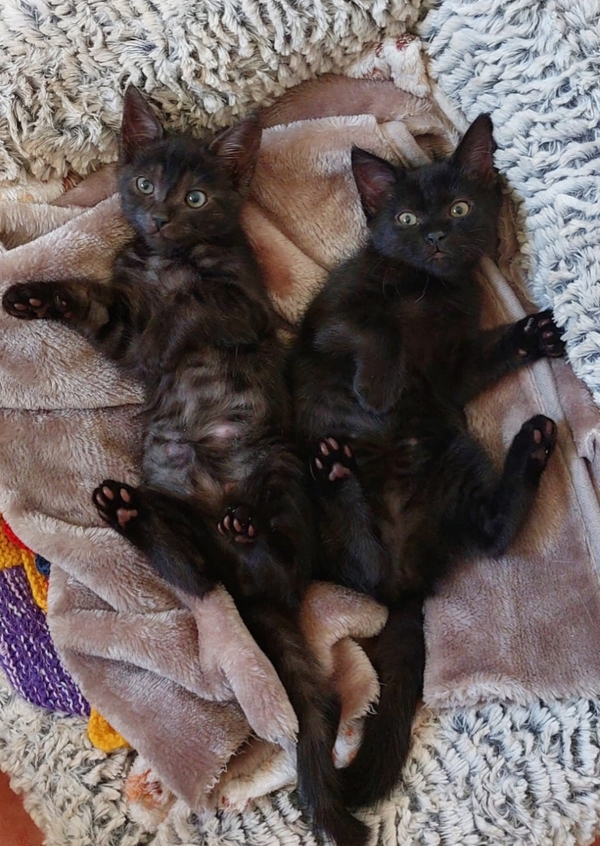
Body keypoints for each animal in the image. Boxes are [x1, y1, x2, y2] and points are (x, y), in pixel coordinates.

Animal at [2, 87, 368, 846]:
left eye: (197, 197)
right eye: (145, 184)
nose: (161, 215)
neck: (169, 257)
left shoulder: (239, 299)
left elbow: (200, 305)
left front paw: (177, 315)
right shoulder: (120, 327)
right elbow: (103, 304)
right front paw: (35, 297)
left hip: (279, 468)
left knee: (271, 560)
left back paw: (248, 528)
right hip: (166, 483)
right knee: (196, 573)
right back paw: (128, 513)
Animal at [291, 113, 566, 810]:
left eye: (460, 207)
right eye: (408, 219)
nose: (438, 235)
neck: (429, 289)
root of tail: (405, 579)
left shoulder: (454, 368)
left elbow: (482, 357)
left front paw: (529, 336)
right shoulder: (335, 314)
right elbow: (375, 328)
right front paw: (380, 388)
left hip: (455, 456)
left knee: (492, 535)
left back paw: (532, 445)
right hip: (318, 520)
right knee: (355, 557)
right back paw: (337, 473)